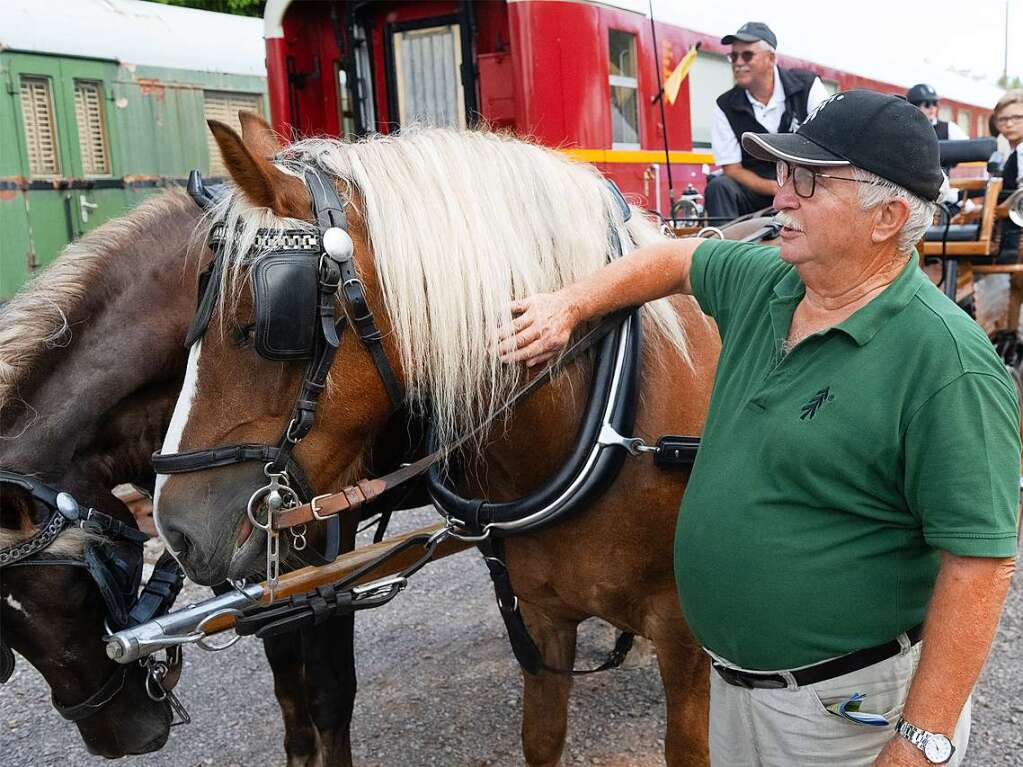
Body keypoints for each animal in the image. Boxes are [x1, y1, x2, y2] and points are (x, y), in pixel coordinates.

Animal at [0, 192, 360, 767]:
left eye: (81, 589)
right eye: (6, 634)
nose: (120, 740)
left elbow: (329, 690)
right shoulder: (227, 540)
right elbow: (284, 670)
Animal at [155, 121, 720, 767]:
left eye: (262, 325)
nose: (174, 531)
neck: (612, 415)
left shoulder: (686, 646)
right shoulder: (542, 619)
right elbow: (542, 740)